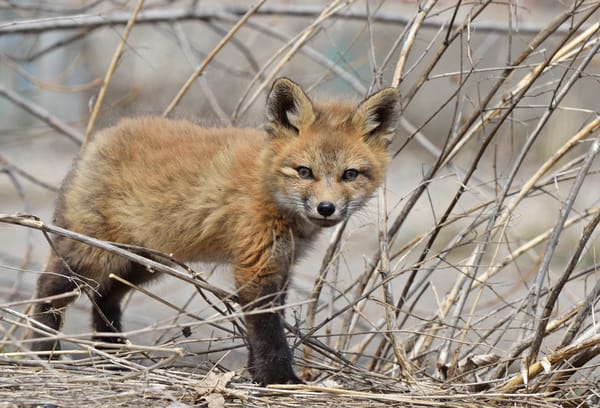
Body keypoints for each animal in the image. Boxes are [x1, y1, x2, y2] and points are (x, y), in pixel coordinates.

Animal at [25, 77, 400, 386]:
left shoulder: (281, 265)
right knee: (48, 289)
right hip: (94, 254)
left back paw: (115, 358)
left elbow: (263, 328)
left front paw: (255, 374)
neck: (267, 186)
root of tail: (102, 136)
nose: (326, 208)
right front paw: (279, 379)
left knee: (105, 298)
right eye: (304, 171)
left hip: (142, 263)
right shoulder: (256, 265)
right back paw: (42, 353)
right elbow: (269, 332)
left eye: (350, 175)